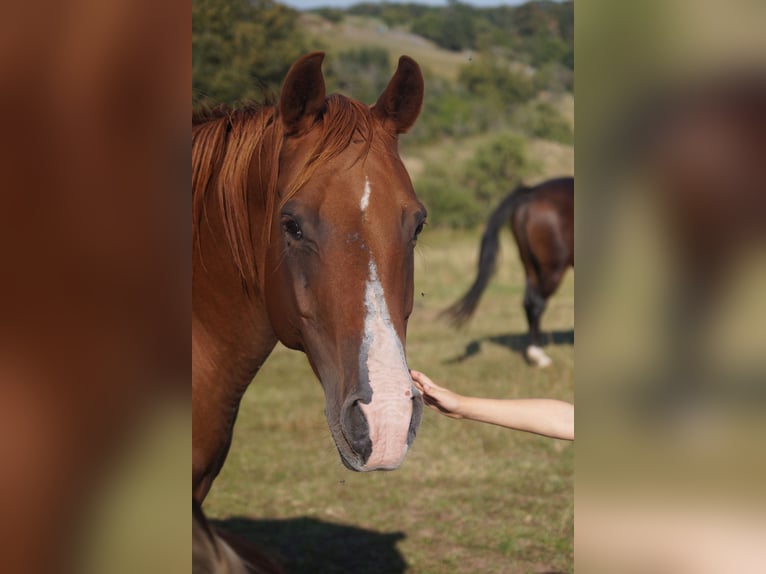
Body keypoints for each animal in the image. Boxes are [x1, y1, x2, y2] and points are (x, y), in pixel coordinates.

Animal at [444, 178, 576, 368]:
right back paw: (539, 355)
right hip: (552, 268)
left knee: (529, 302)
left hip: (530, 266)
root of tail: (532, 191)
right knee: (537, 302)